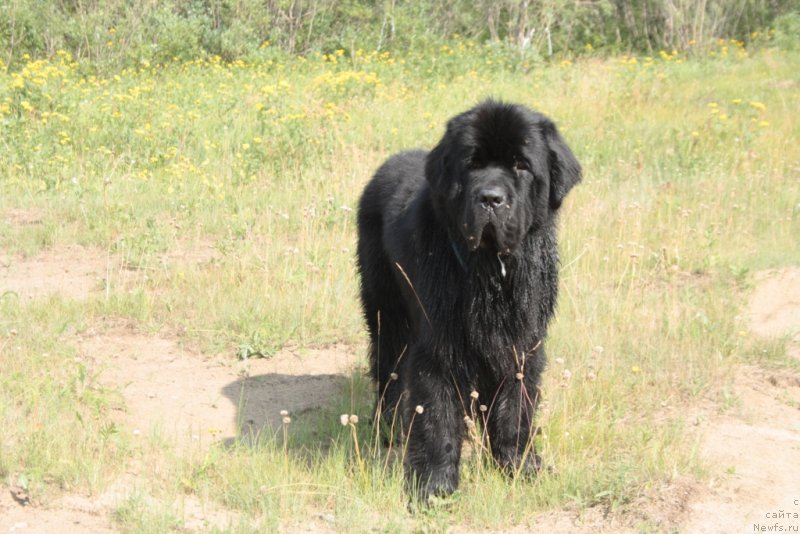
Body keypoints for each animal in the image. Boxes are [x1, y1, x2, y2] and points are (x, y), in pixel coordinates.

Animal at [358, 100, 580, 502]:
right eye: (472, 165)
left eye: (521, 165)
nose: (491, 198)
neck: (491, 271)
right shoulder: (440, 345)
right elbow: (438, 415)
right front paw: (434, 485)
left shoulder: (521, 344)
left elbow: (515, 408)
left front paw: (519, 465)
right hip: (386, 309)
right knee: (388, 366)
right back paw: (388, 426)